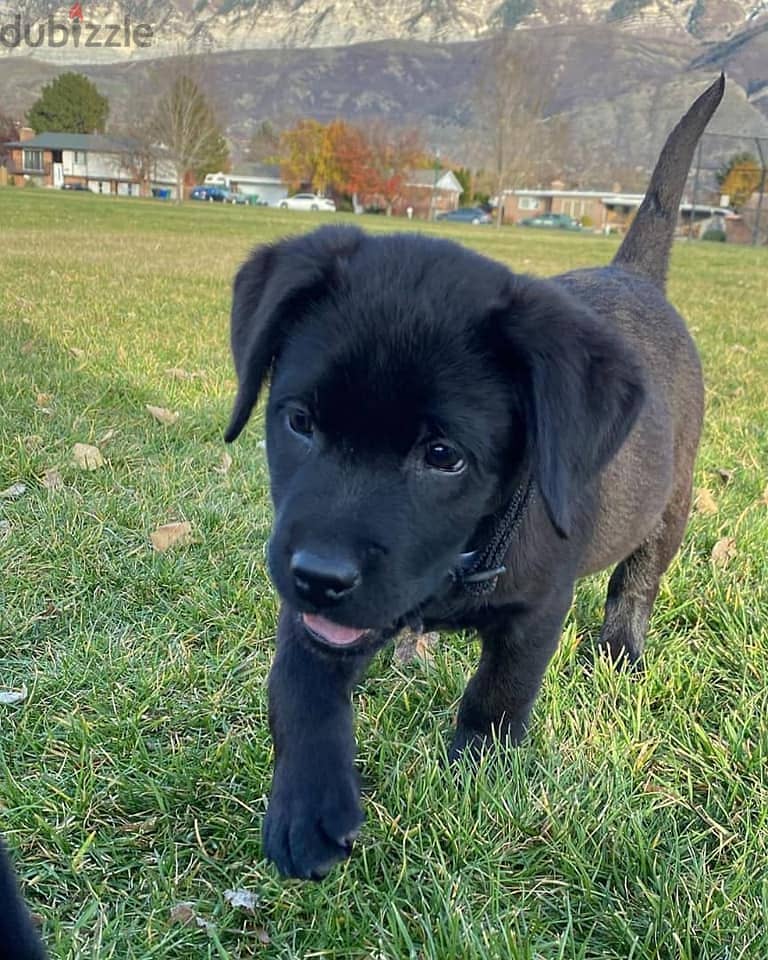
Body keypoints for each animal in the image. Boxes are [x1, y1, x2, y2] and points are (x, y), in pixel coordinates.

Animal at [225, 79, 724, 880]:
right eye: (299, 421)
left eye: (443, 456)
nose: (320, 575)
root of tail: (634, 274)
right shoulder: (309, 595)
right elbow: (298, 681)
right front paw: (305, 803)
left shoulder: (537, 608)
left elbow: (499, 689)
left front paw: (478, 767)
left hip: (670, 502)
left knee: (638, 578)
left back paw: (620, 647)